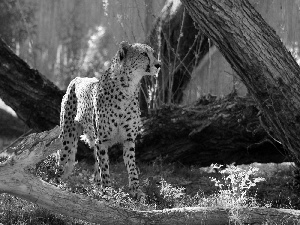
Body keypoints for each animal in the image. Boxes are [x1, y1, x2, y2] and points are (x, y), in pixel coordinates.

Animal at [56, 41, 159, 198]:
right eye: (143, 54)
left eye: (153, 53)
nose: (158, 64)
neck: (128, 87)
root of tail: (77, 78)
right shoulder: (102, 140)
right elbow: (104, 167)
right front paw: (108, 192)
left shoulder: (128, 139)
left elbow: (132, 167)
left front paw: (136, 190)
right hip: (68, 137)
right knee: (62, 161)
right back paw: (58, 184)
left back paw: (96, 187)